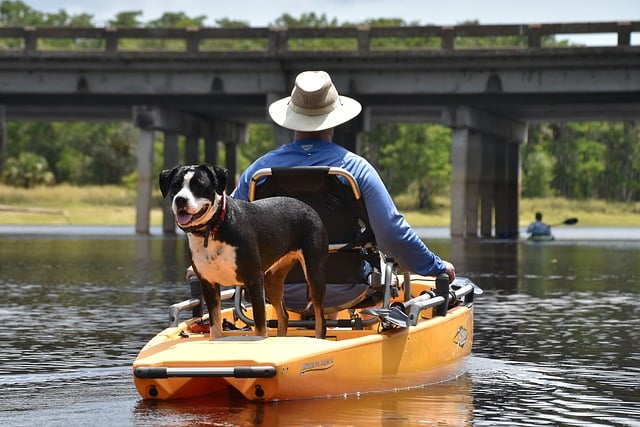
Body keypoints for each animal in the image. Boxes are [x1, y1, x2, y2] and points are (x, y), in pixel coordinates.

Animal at [158, 165, 328, 342]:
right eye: (176, 185)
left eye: (199, 185)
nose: (180, 199)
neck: (214, 229)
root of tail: (307, 206)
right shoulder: (209, 284)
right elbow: (215, 326)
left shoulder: (253, 279)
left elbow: (260, 326)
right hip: (271, 279)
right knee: (284, 315)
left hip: (313, 274)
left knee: (320, 320)